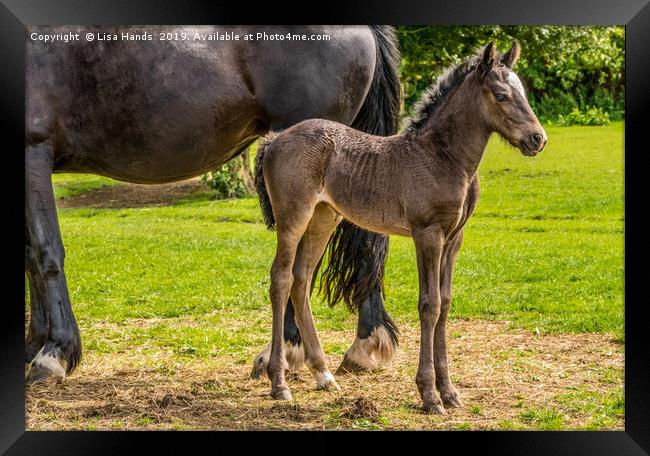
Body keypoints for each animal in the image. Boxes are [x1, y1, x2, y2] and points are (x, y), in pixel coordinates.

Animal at [24, 24, 400, 382]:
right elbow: (30, 256)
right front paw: (33, 344)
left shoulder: (34, 151)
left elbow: (46, 253)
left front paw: (53, 353)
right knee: (359, 246)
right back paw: (363, 346)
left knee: (300, 265)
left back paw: (283, 353)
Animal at [252, 42, 540, 414]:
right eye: (502, 95)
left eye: (523, 94)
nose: (537, 139)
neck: (443, 158)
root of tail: (274, 140)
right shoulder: (427, 234)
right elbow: (430, 305)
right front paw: (429, 394)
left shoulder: (453, 239)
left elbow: (446, 302)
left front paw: (450, 392)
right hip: (293, 216)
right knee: (281, 278)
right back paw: (279, 383)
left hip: (324, 217)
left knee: (301, 280)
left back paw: (324, 375)